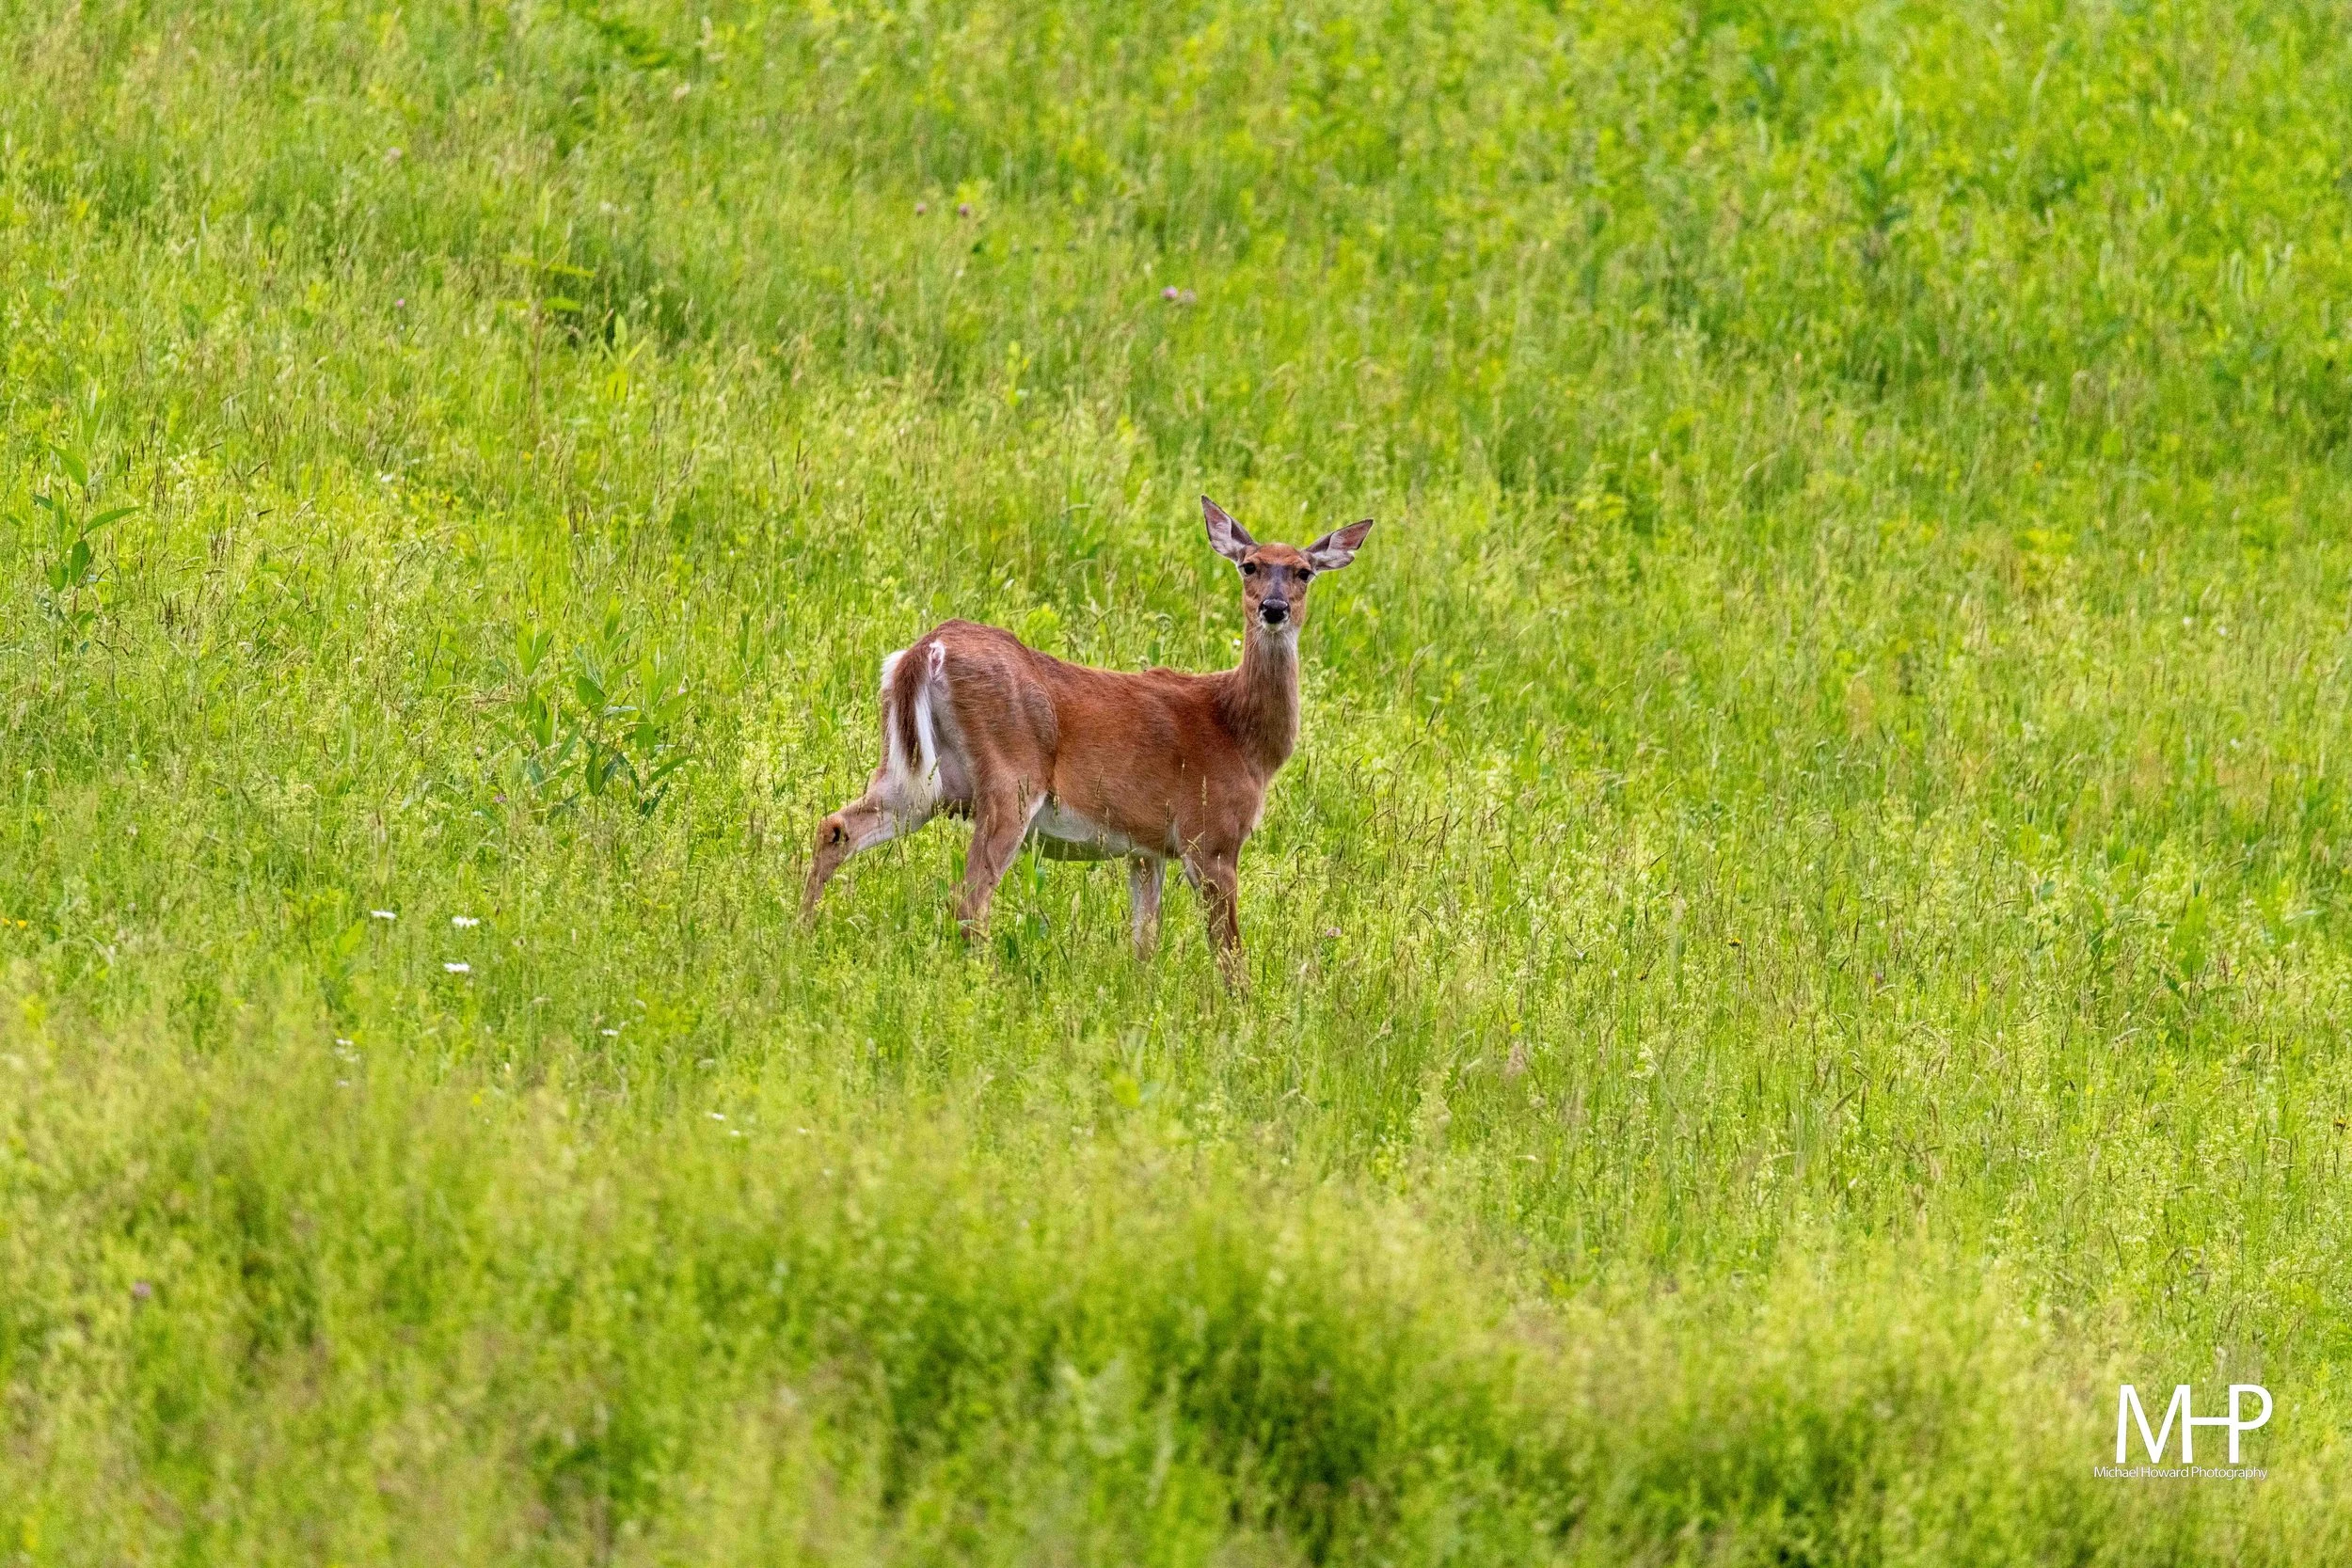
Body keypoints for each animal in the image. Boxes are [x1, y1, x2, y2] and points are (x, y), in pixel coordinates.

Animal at [802, 497, 1375, 980]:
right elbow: (1230, 953)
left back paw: (800, 932)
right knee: (969, 900)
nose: (1274, 608)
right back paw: (983, 983)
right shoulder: (1211, 835)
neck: (1242, 735)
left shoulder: (1147, 848)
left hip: (919, 779)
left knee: (837, 827)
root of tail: (926, 649)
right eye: (1249, 565)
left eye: (1303, 572)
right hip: (1010, 777)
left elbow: (1144, 942)